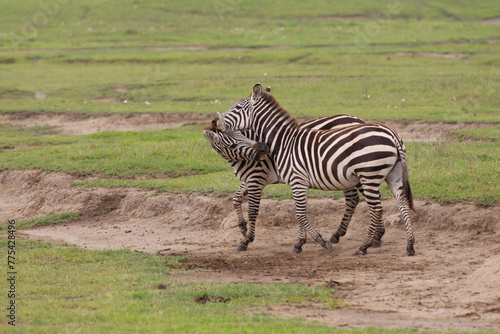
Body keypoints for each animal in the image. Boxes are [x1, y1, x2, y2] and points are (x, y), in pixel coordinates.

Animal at [217, 83, 416, 256]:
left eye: (237, 107)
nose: (215, 121)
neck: (283, 141)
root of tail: (392, 134)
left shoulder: (283, 179)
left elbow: (297, 213)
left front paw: (306, 243)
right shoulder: (281, 181)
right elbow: (239, 199)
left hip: (368, 174)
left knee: (375, 208)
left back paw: (364, 245)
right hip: (390, 175)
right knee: (401, 203)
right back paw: (409, 245)